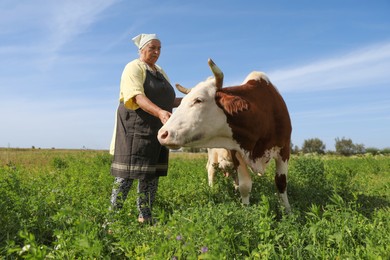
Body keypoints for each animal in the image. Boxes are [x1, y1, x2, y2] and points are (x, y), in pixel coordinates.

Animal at [157, 58, 290, 211]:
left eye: (198, 100)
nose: (162, 134)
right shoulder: (236, 152)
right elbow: (245, 186)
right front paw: (246, 210)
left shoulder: (285, 150)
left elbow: (281, 183)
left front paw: (288, 211)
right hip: (212, 157)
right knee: (211, 171)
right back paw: (212, 190)